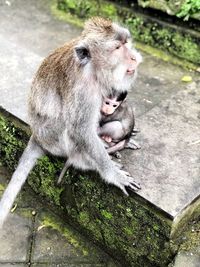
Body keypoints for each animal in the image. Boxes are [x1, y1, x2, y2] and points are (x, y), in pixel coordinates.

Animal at [0, 16, 141, 227]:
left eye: (126, 43)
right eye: (117, 48)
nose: (133, 57)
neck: (92, 70)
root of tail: (37, 135)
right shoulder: (83, 91)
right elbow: (81, 131)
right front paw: (113, 175)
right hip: (53, 139)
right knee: (69, 128)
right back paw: (87, 160)